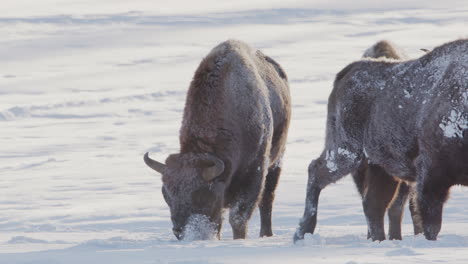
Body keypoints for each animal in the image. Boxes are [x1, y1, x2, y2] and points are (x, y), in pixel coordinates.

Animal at [144, 40, 290, 240]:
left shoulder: (254, 173)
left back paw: (266, 235)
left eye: (202, 194)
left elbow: (238, 218)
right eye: (165, 193)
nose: (179, 231)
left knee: (267, 199)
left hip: (277, 160)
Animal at [294, 38, 466, 242]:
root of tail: (347, 71)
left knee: (373, 204)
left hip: (379, 166)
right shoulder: (431, 174)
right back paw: (302, 232)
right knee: (316, 172)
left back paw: (379, 239)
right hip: (347, 153)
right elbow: (431, 223)